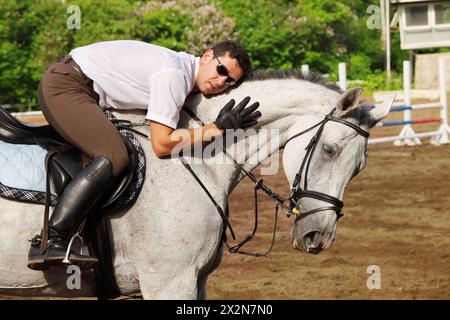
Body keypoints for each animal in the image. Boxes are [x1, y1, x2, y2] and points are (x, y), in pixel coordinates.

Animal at [0, 69, 392, 298]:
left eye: (359, 168)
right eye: (328, 150)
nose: (318, 236)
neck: (197, 159)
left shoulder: (195, 280)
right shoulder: (169, 282)